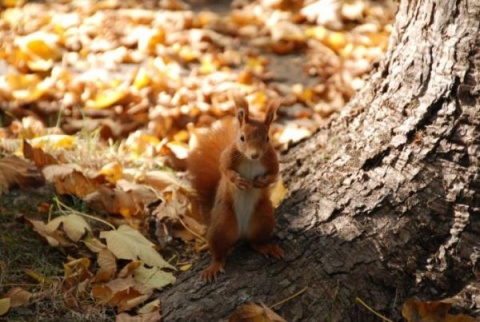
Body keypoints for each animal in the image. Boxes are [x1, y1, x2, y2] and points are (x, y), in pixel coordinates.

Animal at [188, 93, 284, 282]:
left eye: (267, 138)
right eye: (242, 138)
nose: (255, 154)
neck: (250, 160)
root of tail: (240, 234)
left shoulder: (271, 158)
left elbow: (274, 173)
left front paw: (261, 183)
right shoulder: (229, 155)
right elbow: (225, 169)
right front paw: (239, 181)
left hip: (263, 219)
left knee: (255, 242)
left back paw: (267, 248)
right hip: (222, 224)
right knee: (219, 252)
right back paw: (214, 266)